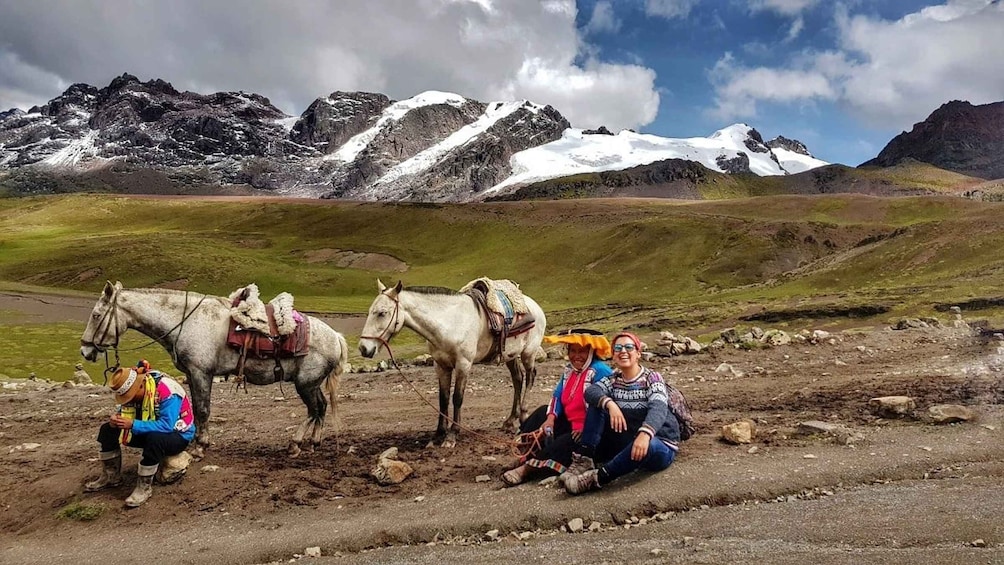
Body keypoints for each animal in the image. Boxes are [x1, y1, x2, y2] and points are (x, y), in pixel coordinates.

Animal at [78, 280, 347, 459]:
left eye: (96, 315)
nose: (85, 350)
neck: (186, 321)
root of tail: (335, 336)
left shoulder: (201, 373)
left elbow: (203, 410)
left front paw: (200, 447)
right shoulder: (191, 374)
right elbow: (197, 410)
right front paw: (197, 442)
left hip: (305, 383)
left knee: (314, 409)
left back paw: (295, 444)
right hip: (311, 383)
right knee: (322, 406)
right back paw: (313, 442)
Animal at [361, 280, 546, 449]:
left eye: (382, 313)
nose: (364, 348)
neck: (450, 324)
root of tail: (535, 307)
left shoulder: (463, 364)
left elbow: (457, 397)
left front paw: (452, 435)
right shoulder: (441, 365)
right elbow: (443, 399)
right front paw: (438, 434)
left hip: (528, 352)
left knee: (530, 376)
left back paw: (523, 416)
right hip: (510, 355)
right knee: (518, 379)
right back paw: (510, 420)